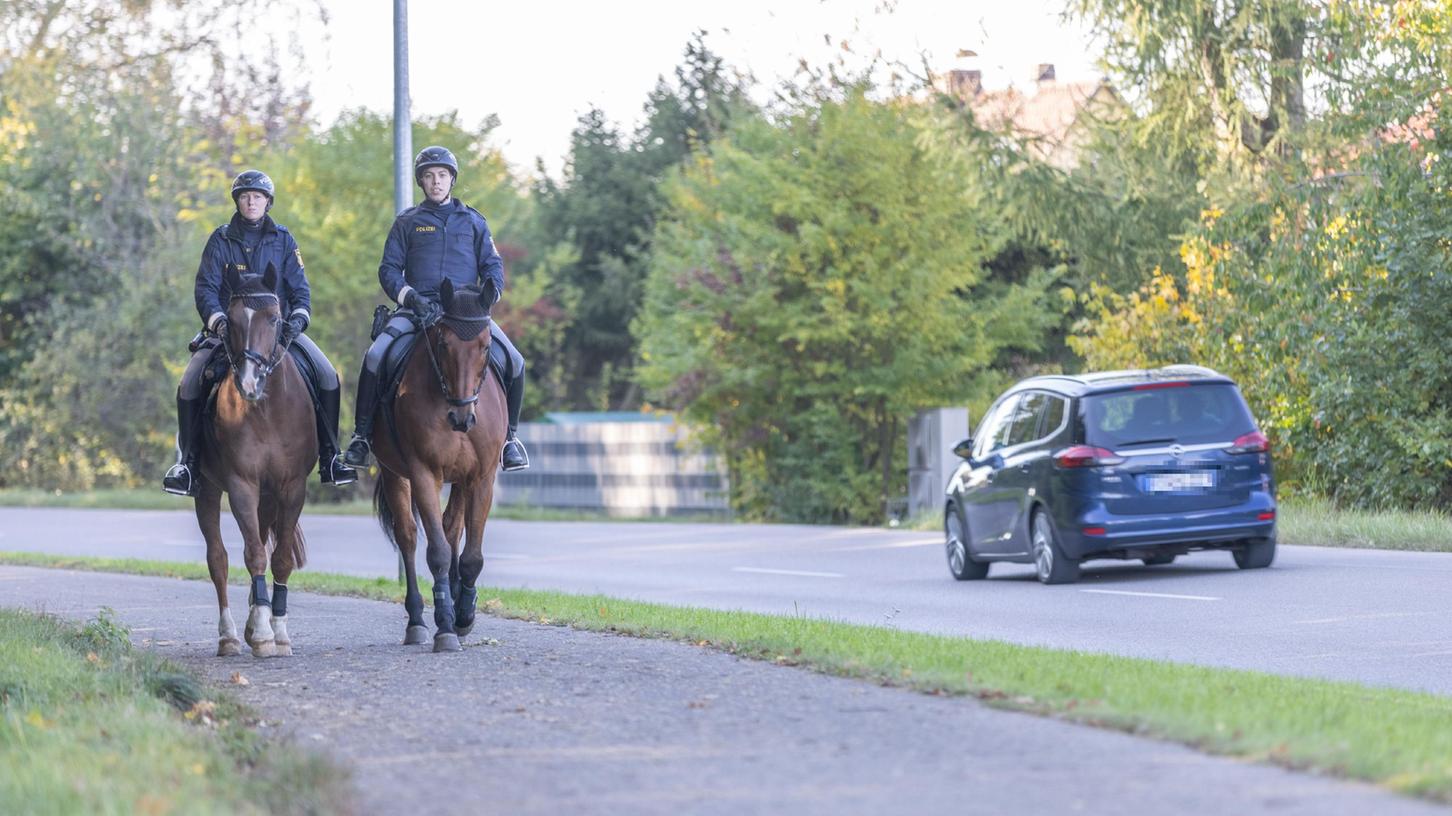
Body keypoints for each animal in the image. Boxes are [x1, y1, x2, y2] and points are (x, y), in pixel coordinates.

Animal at [194, 264, 313, 656]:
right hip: (208, 490)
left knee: (260, 538)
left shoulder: (291, 487)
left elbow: (280, 558)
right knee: (219, 559)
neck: (265, 409)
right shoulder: (241, 485)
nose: (249, 383)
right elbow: (254, 556)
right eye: (229, 321)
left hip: (269, 496)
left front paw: (279, 630)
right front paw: (261, 632)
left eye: (275, 318)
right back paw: (230, 636)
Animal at [371, 275, 508, 650]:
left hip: (460, 480)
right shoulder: (423, 473)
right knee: (408, 537)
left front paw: (464, 614)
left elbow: (470, 553)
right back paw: (417, 620)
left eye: (485, 345)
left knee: (452, 529)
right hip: (394, 473)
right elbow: (438, 552)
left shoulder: (481, 477)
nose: (461, 417)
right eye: (444, 343)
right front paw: (445, 624)